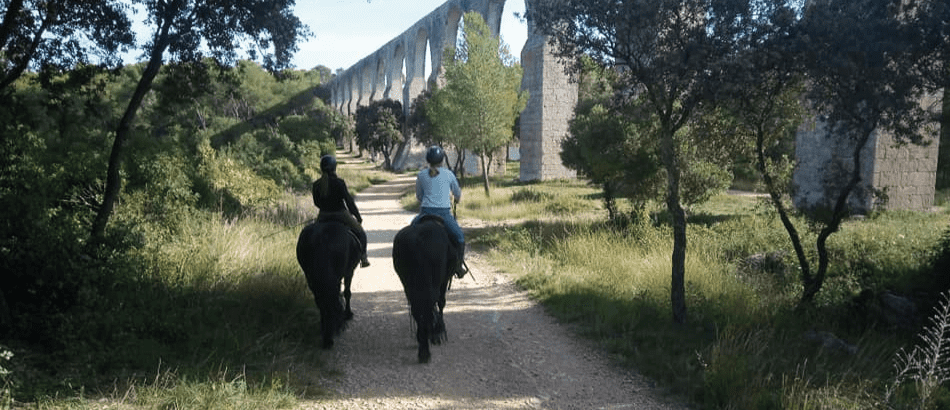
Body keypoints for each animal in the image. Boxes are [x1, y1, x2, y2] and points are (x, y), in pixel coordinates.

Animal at [296, 221, 358, 350]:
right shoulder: (349, 271)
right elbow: (347, 292)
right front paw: (348, 314)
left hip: (312, 279)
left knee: (322, 303)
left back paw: (326, 335)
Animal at [388, 215, 460, 362]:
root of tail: (417, 240)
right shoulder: (443, 281)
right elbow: (441, 303)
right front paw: (438, 330)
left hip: (408, 284)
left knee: (417, 308)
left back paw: (422, 341)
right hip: (432, 283)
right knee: (428, 307)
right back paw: (426, 349)